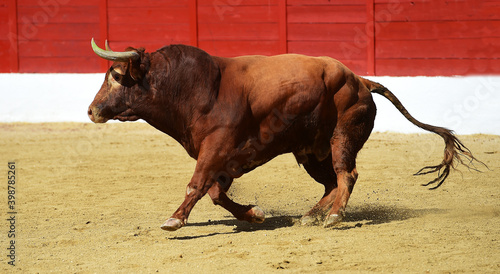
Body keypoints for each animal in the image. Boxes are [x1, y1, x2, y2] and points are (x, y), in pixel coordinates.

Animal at [87, 38, 480, 230]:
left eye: (116, 77)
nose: (91, 111)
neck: (198, 89)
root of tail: (359, 79)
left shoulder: (216, 148)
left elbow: (197, 185)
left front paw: (174, 220)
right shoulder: (225, 158)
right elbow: (215, 193)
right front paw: (254, 215)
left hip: (341, 139)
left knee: (347, 174)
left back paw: (334, 218)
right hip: (311, 151)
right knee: (330, 182)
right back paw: (309, 216)